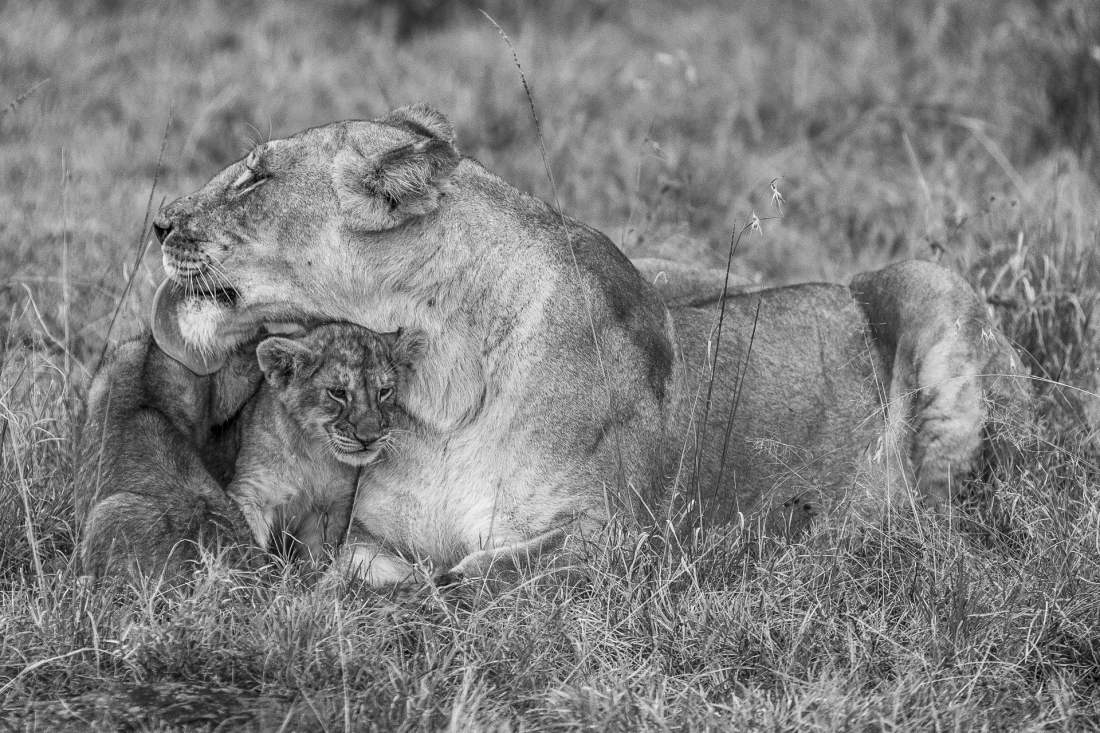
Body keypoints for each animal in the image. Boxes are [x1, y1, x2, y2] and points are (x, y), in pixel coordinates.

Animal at [229, 323, 423, 570]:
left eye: (384, 391)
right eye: (338, 392)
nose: (369, 438)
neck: (312, 455)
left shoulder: (334, 507)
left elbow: (318, 559)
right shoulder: (251, 491)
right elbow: (249, 543)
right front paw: (254, 577)